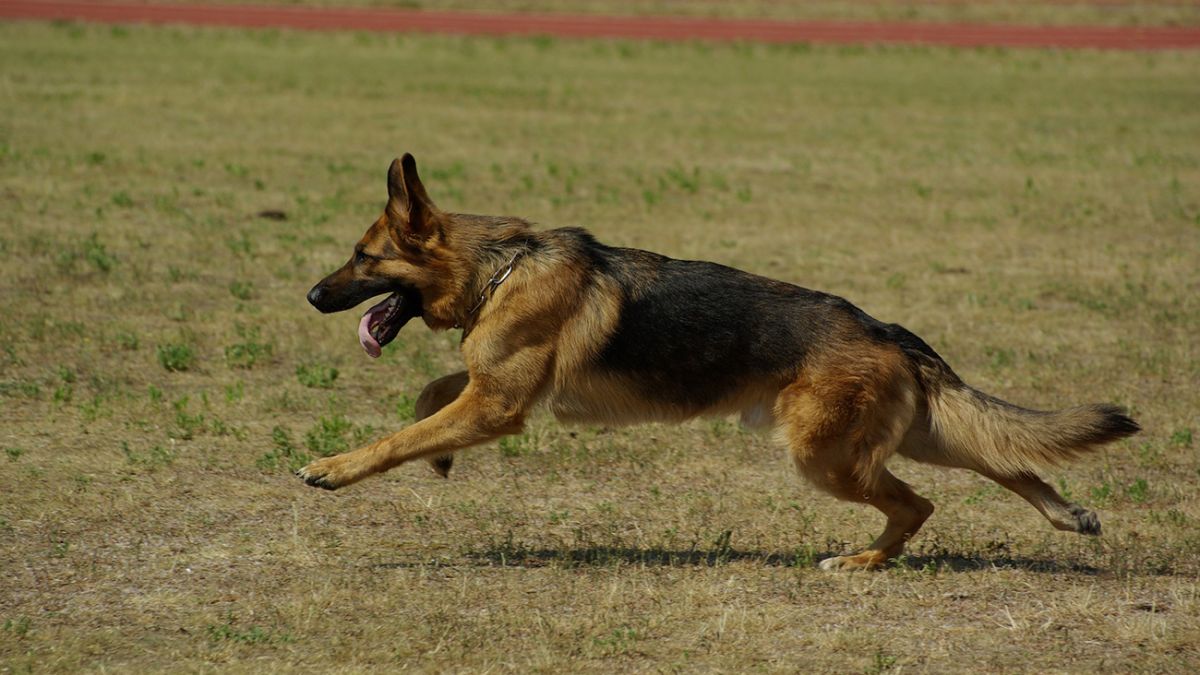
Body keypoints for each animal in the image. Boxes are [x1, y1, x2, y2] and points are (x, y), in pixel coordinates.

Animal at [297, 154, 1132, 569]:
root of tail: (889, 330)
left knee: (919, 503)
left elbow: (402, 434)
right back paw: (1067, 513)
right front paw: (436, 455)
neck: (501, 264)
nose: (309, 295)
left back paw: (862, 561)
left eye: (363, 257)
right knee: (1002, 456)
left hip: (826, 455)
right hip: (904, 434)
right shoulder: (492, 391)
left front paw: (334, 467)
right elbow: (431, 398)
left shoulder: (497, 405)